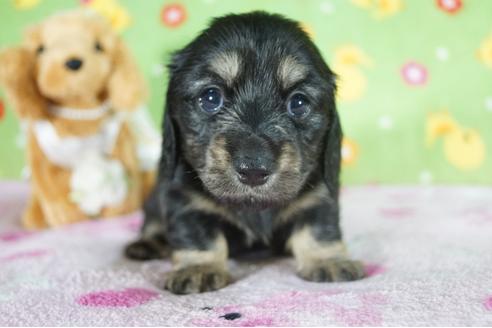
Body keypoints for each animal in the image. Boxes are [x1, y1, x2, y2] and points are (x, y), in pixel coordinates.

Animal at [126, 12, 366, 294]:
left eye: (298, 103)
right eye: (211, 97)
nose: (253, 169)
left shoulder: (319, 197)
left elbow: (319, 228)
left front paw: (328, 259)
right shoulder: (186, 201)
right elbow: (198, 235)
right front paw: (199, 268)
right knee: (152, 220)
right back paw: (148, 243)